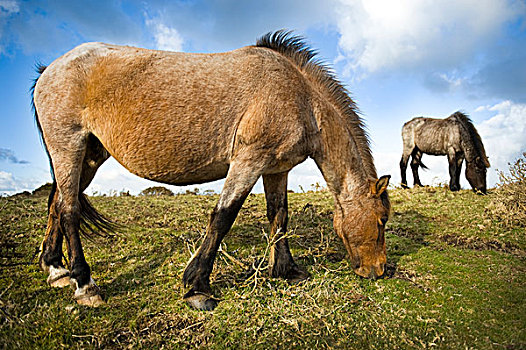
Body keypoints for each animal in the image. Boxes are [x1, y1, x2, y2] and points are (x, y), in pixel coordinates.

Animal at [32, 29, 392, 308]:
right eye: (381, 220)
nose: (378, 270)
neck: (298, 95)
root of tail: (50, 69)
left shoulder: (276, 169)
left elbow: (279, 215)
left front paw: (286, 269)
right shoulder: (248, 161)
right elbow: (222, 218)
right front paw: (197, 287)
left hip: (89, 156)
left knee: (57, 204)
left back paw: (56, 270)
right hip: (68, 147)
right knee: (69, 211)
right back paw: (85, 285)